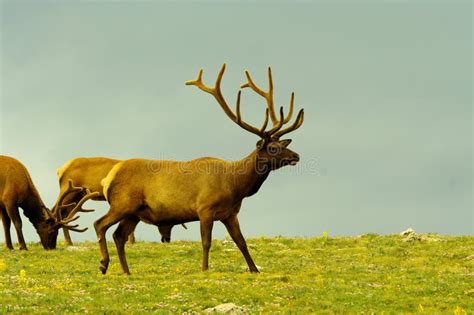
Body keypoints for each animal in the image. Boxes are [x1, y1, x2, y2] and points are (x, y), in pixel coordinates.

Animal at [53, 157, 183, 246]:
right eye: (167, 222)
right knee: (56, 210)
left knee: (66, 214)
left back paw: (68, 241)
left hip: (78, 195)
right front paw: (131, 241)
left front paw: (131, 241)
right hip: (68, 190)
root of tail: (59, 170)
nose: (167, 239)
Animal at [95, 64, 306, 274]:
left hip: (135, 212)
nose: (296, 156)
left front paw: (254, 269)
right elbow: (206, 242)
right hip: (122, 203)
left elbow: (241, 242)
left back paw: (126, 271)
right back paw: (104, 263)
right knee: (100, 224)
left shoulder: (230, 213)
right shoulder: (205, 208)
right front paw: (204, 268)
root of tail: (109, 178)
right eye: (273, 148)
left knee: (119, 236)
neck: (235, 186)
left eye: (283, 144)